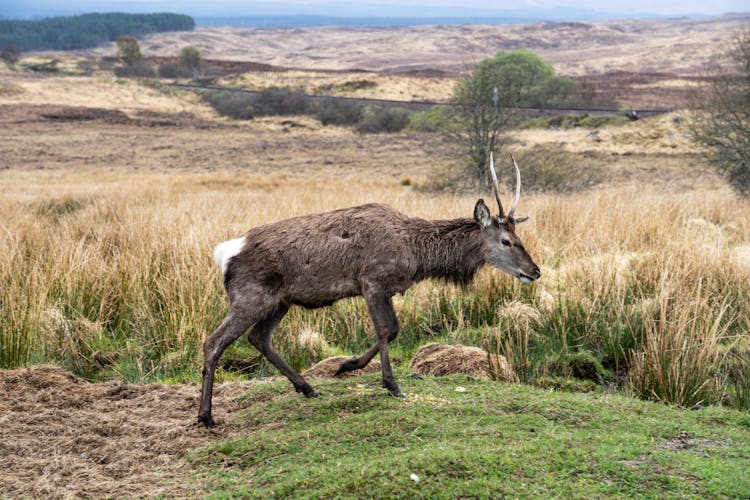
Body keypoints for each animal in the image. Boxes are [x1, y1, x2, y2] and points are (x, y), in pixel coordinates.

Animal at [200, 152, 540, 426]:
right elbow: (384, 329)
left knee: (259, 338)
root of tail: (224, 253)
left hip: (280, 300)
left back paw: (307, 388)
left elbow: (394, 330)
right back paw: (206, 416)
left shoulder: (388, 289)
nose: (535, 271)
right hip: (249, 295)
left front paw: (346, 366)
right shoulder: (372, 280)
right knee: (214, 342)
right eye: (506, 241)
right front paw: (392, 386)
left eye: (518, 236)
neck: (416, 254)